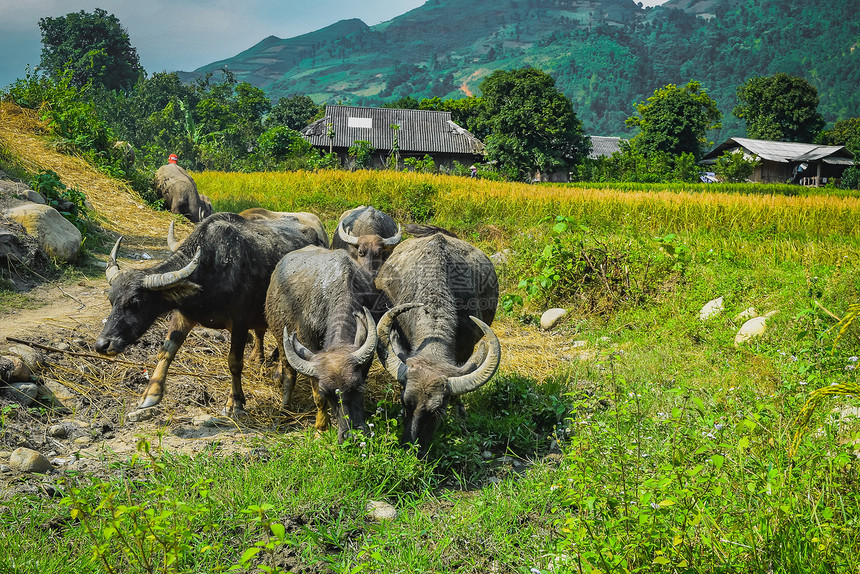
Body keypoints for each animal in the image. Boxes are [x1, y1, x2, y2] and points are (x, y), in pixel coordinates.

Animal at [95, 214, 316, 416]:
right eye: (111, 300)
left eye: (135, 302)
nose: (102, 345)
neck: (210, 270)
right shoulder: (183, 315)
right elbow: (166, 351)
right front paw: (150, 394)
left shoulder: (240, 322)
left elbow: (234, 362)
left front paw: (234, 403)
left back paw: (278, 376)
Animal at [264, 245, 388, 444]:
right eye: (327, 394)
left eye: (358, 386)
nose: (352, 435)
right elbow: (316, 397)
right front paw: (321, 429)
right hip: (279, 339)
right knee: (289, 374)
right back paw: (284, 408)